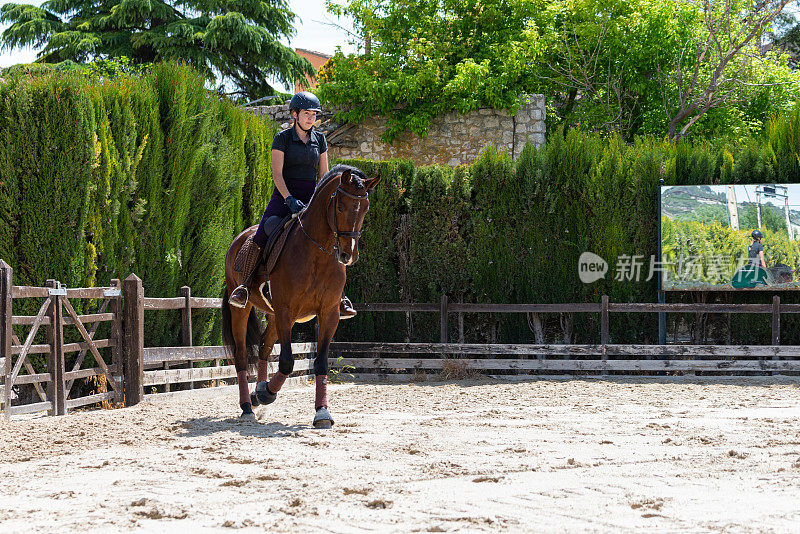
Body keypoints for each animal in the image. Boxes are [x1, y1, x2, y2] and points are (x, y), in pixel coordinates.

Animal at [220, 165, 380, 430]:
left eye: (365, 208)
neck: (317, 252)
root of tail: (240, 238)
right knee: (242, 355)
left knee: (264, 348)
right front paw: (267, 394)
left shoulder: (328, 313)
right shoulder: (286, 311)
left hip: (274, 315)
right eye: (340, 207)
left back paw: (257, 392)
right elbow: (286, 361)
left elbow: (321, 361)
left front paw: (322, 412)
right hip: (243, 309)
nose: (348, 255)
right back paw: (248, 406)